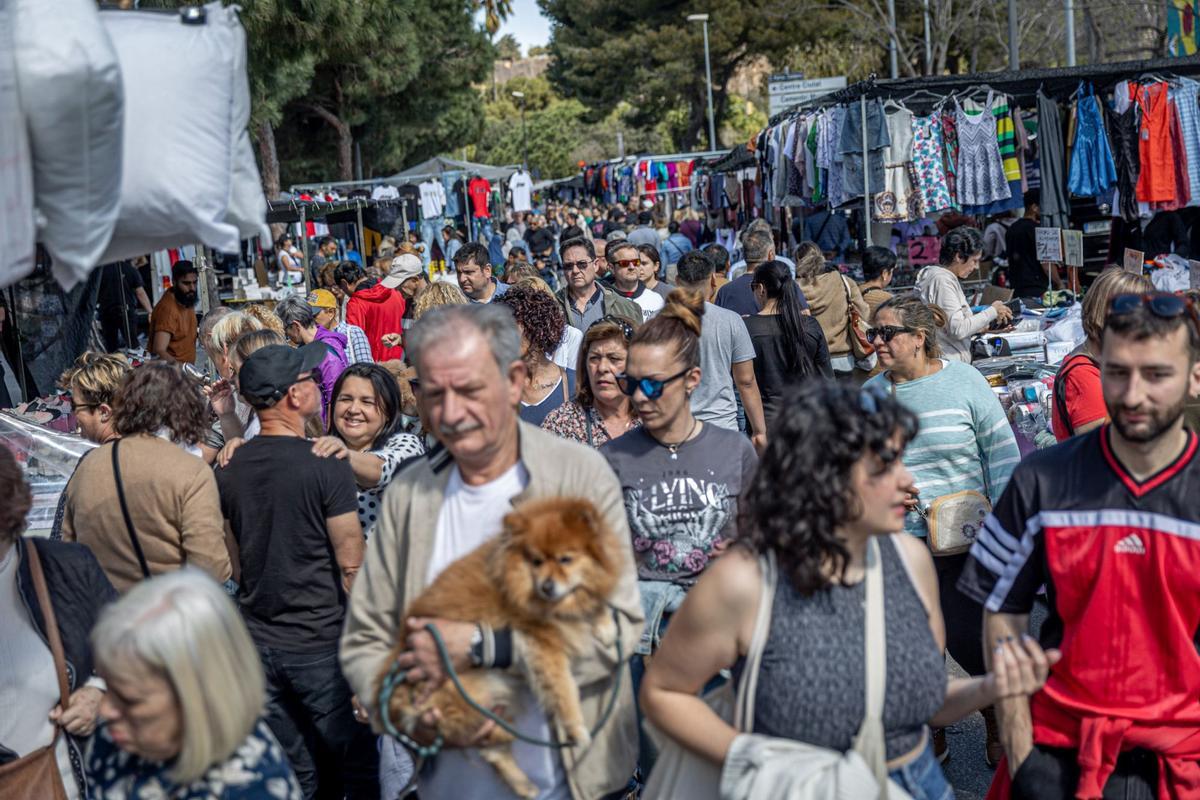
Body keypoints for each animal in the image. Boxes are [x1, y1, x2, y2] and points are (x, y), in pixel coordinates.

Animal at [374, 496, 619, 796]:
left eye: (565, 559)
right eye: (537, 561)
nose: (547, 586)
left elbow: (592, 603)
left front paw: (606, 625)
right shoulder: (541, 644)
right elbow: (563, 689)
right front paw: (576, 730)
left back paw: (525, 785)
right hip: (470, 694)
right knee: (491, 743)